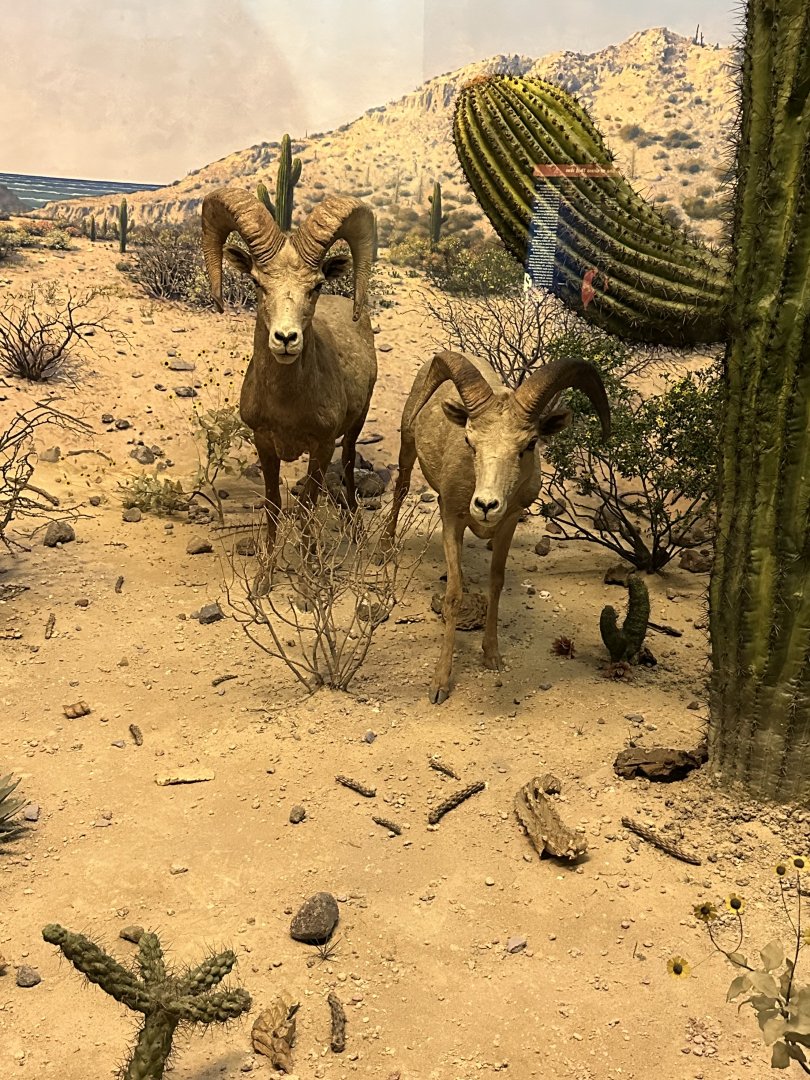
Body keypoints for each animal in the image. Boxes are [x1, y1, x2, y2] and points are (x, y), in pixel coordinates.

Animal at [200, 186, 377, 537]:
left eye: (317, 285)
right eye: (257, 282)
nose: (285, 338)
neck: (287, 406)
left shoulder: (322, 445)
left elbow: (307, 508)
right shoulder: (265, 443)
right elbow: (272, 506)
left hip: (356, 424)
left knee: (349, 462)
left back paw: (355, 526)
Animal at [387, 350, 610, 704]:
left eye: (530, 443)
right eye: (469, 440)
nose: (485, 505)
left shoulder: (509, 523)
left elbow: (496, 583)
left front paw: (491, 655)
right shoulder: (451, 519)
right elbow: (454, 596)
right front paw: (439, 684)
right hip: (407, 445)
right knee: (401, 487)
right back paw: (385, 546)